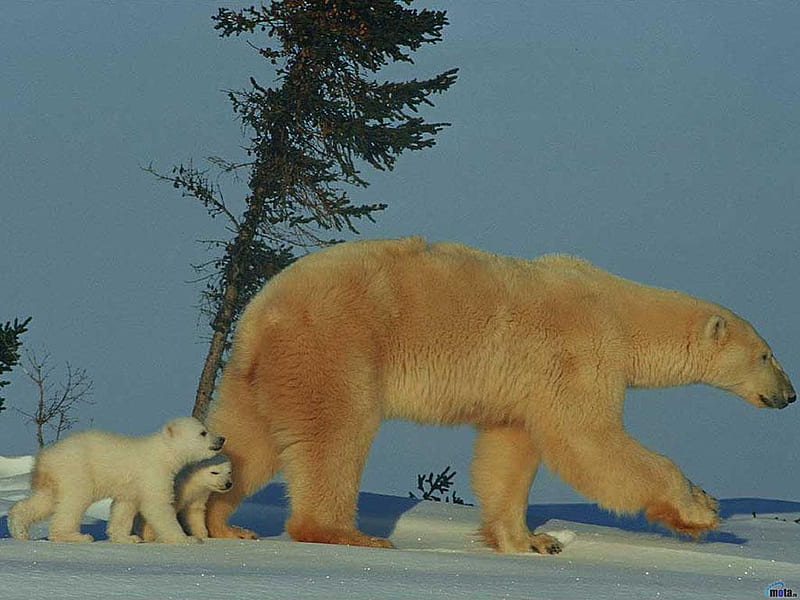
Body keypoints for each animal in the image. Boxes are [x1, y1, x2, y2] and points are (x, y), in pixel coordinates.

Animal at [205, 236, 792, 552]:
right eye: (767, 354)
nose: (789, 395)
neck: (620, 310)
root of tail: (263, 310)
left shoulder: (527, 383)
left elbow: (510, 452)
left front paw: (531, 541)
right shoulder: (579, 352)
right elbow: (588, 440)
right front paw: (703, 510)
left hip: (259, 371)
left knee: (244, 439)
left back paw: (222, 521)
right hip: (335, 345)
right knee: (337, 432)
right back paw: (350, 534)